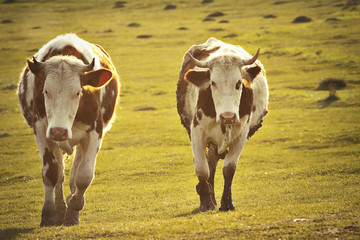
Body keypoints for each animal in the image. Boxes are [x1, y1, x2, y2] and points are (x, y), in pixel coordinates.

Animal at [18, 33, 120, 227]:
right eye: (46, 91)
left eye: (77, 92)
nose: (59, 131)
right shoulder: (41, 130)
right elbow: (51, 173)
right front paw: (49, 215)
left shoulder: (94, 132)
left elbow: (83, 175)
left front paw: (74, 206)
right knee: (59, 175)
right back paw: (59, 209)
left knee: (73, 175)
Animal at [176, 37, 268, 212]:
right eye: (212, 83)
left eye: (239, 83)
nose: (228, 116)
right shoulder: (197, 133)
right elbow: (202, 169)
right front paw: (206, 202)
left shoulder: (242, 135)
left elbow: (229, 169)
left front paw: (226, 203)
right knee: (209, 164)